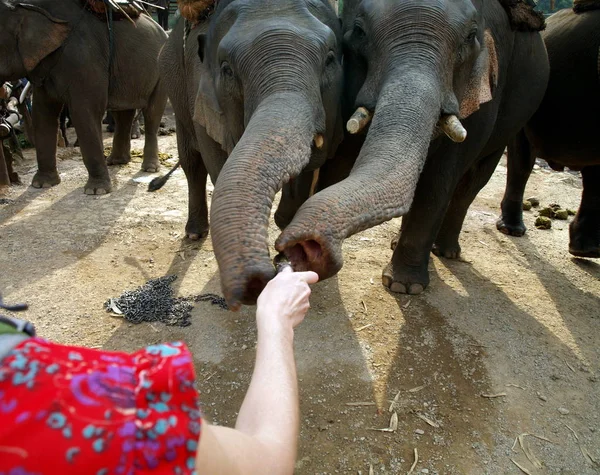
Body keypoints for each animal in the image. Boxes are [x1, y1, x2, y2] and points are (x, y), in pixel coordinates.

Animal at [0, 0, 168, 194]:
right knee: (123, 113)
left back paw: (149, 169)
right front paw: (42, 185)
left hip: (161, 73)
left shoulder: (85, 60)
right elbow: (43, 114)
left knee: (152, 113)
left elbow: (84, 112)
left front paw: (96, 191)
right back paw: (116, 161)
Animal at [157, 0, 344, 308]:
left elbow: (308, 168)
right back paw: (195, 232)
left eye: (330, 58)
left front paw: (288, 228)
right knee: (191, 161)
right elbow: (217, 163)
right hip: (174, 82)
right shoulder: (201, 91)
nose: (264, 276)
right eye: (227, 69)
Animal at [274, 0, 552, 294]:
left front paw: (404, 287)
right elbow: (341, 160)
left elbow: (440, 177)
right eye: (359, 31)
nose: (291, 250)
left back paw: (445, 251)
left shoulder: (484, 95)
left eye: (469, 36)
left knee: (473, 181)